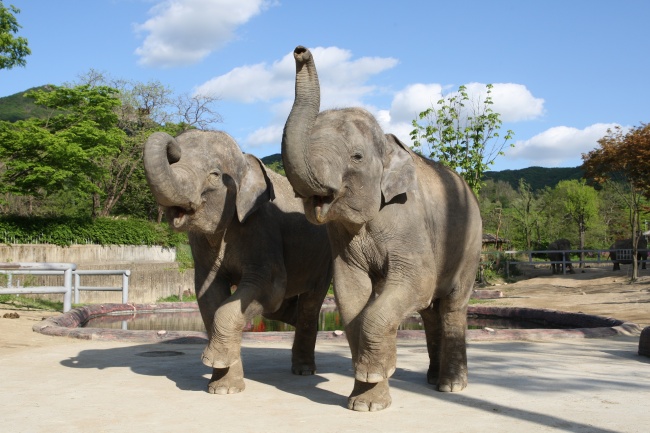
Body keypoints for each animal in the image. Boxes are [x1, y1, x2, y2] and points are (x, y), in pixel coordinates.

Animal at [144, 129, 332, 394]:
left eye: (214, 175)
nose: (171, 146)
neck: (245, 162)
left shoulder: (261, 227)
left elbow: (269, 287)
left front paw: (214, 364)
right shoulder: (201, 244)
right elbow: (208, 294)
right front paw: (223, 386)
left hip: (324, 260)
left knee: (309, 303)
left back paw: (304, 370)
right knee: (278, 308)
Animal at [278, 45, 480, 410]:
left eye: (356, 157)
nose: (300, 51)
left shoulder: (408, 219)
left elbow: (415, 282)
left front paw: (373, 380)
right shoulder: (341, 237)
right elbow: (350, 295)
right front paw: (366, 399)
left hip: (471, 243)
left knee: (452, 305)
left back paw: (451, 386)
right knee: (430, 311)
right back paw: (432, 378)